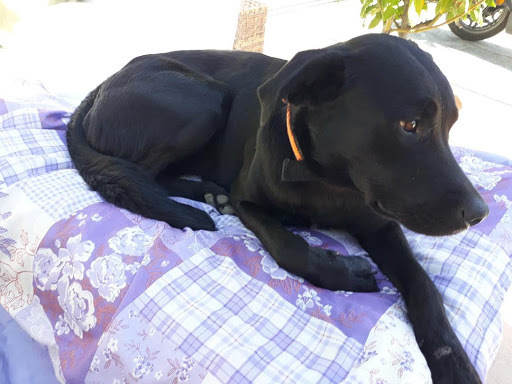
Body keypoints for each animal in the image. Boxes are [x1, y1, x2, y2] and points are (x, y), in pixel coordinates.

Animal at [67, 34, 488, 382]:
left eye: (450, 125)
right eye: (409, 124)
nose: (479, 213)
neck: (328, 180)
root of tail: (101, 85)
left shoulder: (380, 225)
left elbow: (424, 284)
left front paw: (453, 361)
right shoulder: (248, 200)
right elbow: (289, 247)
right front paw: (346, 272)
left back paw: (207, 192)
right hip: (203, 97)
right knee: (139, 171)